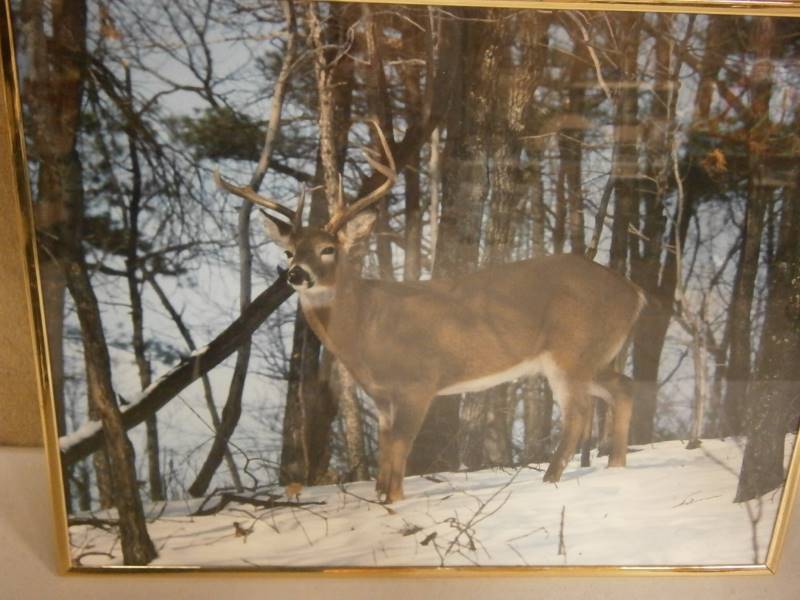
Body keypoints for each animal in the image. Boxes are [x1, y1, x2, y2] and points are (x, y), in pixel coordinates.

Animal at [215, 123, 646, 503]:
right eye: (289, 251)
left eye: (328, 249)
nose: (296, 274)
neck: (366, 328)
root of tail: (634, 292)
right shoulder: (381, 396)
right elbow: (385, 456)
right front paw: (381, 499)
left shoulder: (418, 381)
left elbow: (399, 456)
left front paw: (394, 502)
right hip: (592, 355)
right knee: (623, 388)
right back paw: (616, 466)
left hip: (571, 350)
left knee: (580, 414)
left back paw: (551, 480)